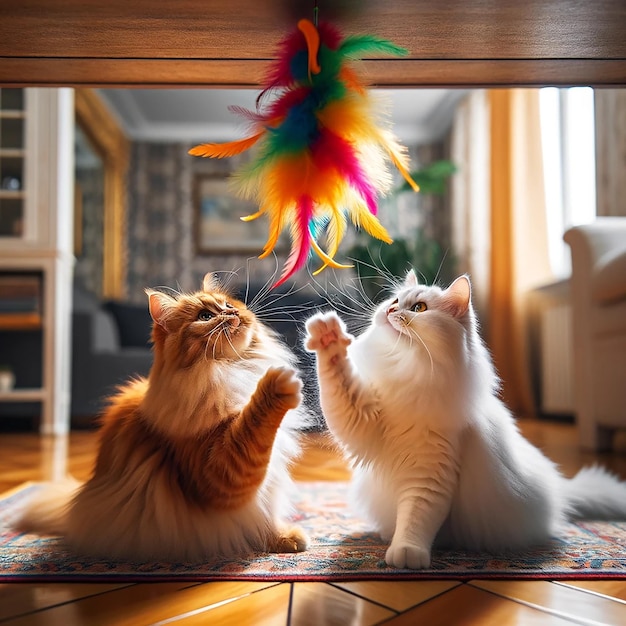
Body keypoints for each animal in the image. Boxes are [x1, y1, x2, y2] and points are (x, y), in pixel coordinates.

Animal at [18, 272, 310, 560]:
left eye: (228, 304)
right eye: (205, 316)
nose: (233, 312)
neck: (232, 368)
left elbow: (266, 514)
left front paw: (283, 538)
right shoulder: (218, 472)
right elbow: (251, 427)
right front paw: (278, 383)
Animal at [304, 270, 624, 568]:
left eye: (419, 308)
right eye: (394, 300)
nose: (390, 311)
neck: (408, 371)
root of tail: (561, 490)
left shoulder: (432, 470)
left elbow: (416, 517)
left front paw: (406, 553)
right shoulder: (360, 418)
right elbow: (336, 375)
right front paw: (328, 337)